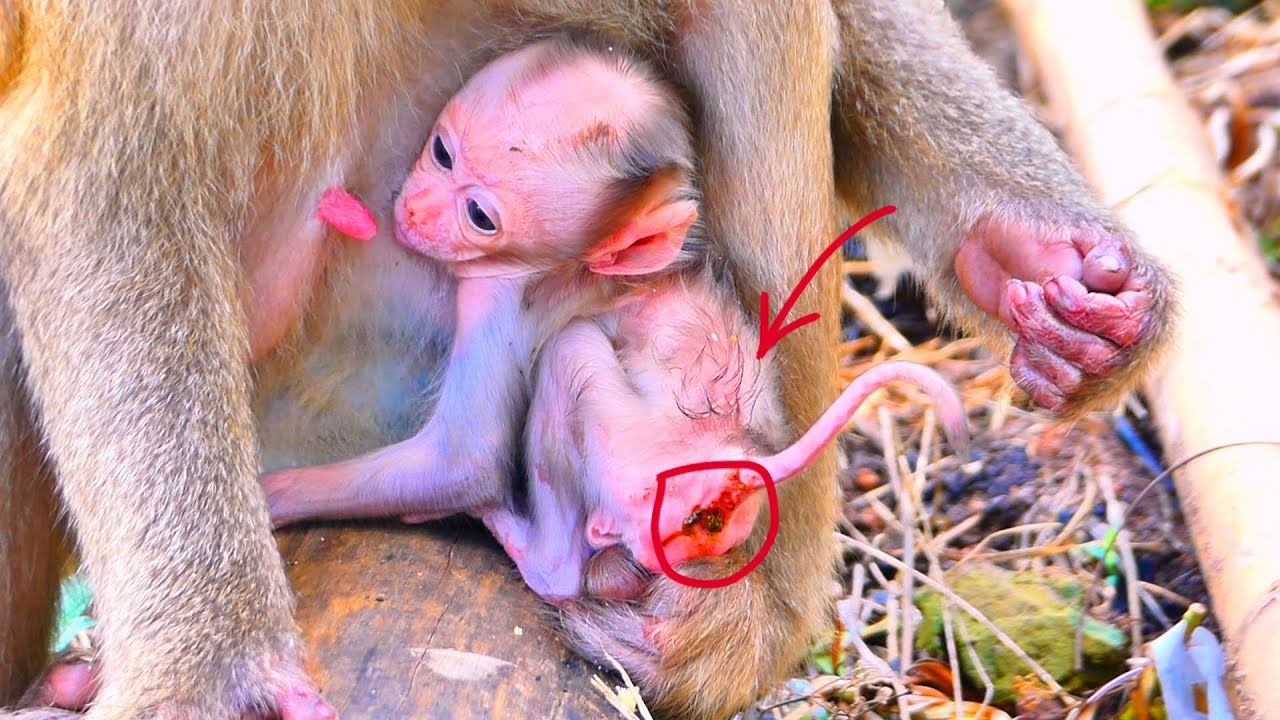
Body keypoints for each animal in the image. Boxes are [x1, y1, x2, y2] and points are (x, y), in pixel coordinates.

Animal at [262, 40, 970, 605]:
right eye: (442, 152)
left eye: (480, 216)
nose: (414, 210)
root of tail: (739, 468)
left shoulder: (494, 299)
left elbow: (464, 459)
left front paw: (275, 497)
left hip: (634, 469)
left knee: (568, 363)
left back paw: (530, 549)